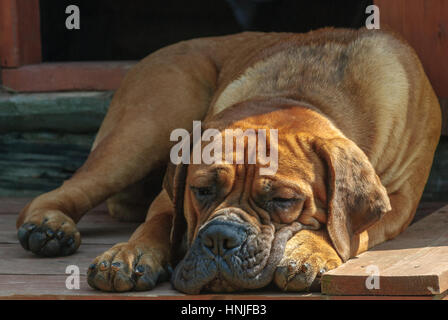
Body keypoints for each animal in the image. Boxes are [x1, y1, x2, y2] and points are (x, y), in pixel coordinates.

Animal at [16, 27, 440, 292]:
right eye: (202, 191)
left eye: (283, 200)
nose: (220, 238)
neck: (300, 93)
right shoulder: (171, 194)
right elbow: (159, 220)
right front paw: (129, 254)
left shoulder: (397, 203)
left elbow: (351, 231)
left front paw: (310, 250)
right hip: (143, 128)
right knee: (66, 190)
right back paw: (49, 227)